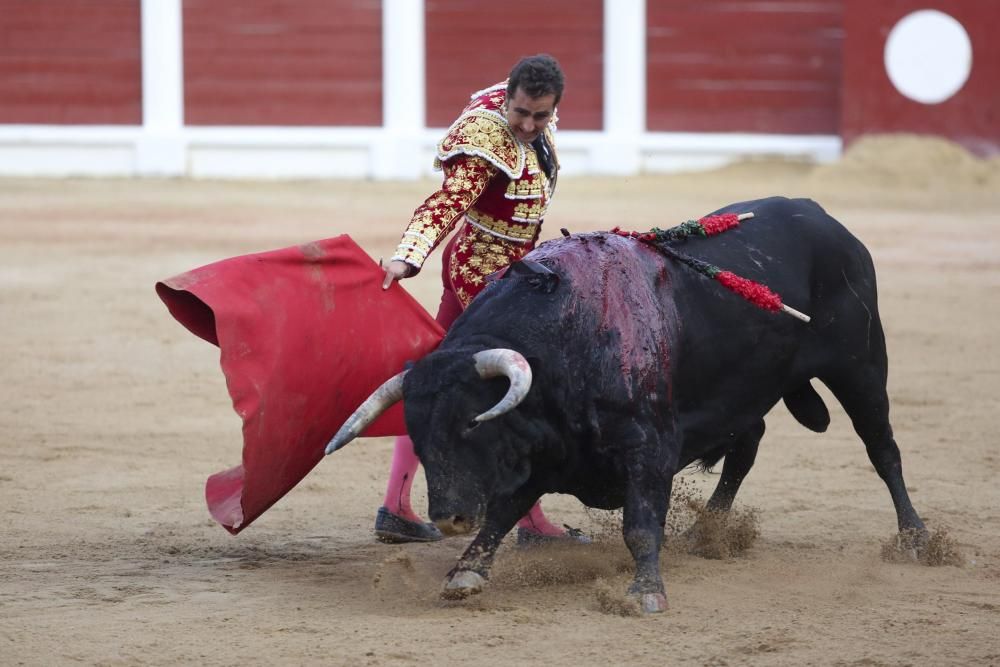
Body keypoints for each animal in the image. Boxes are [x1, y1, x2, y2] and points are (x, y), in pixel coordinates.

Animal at [328, 196, 928, 612]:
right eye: (419, 435)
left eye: (473, 426)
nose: (448, 517)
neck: (566, 338)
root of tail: (824, 218)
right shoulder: (543, 450)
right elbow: (503, 510)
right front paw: (465, 572)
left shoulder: (649, 446)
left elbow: (640, 522)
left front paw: (645, 593)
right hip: (750, 388)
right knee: (747, 445)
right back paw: (707, 532)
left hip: (861, 365)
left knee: (882, 448)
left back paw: (917, 538)